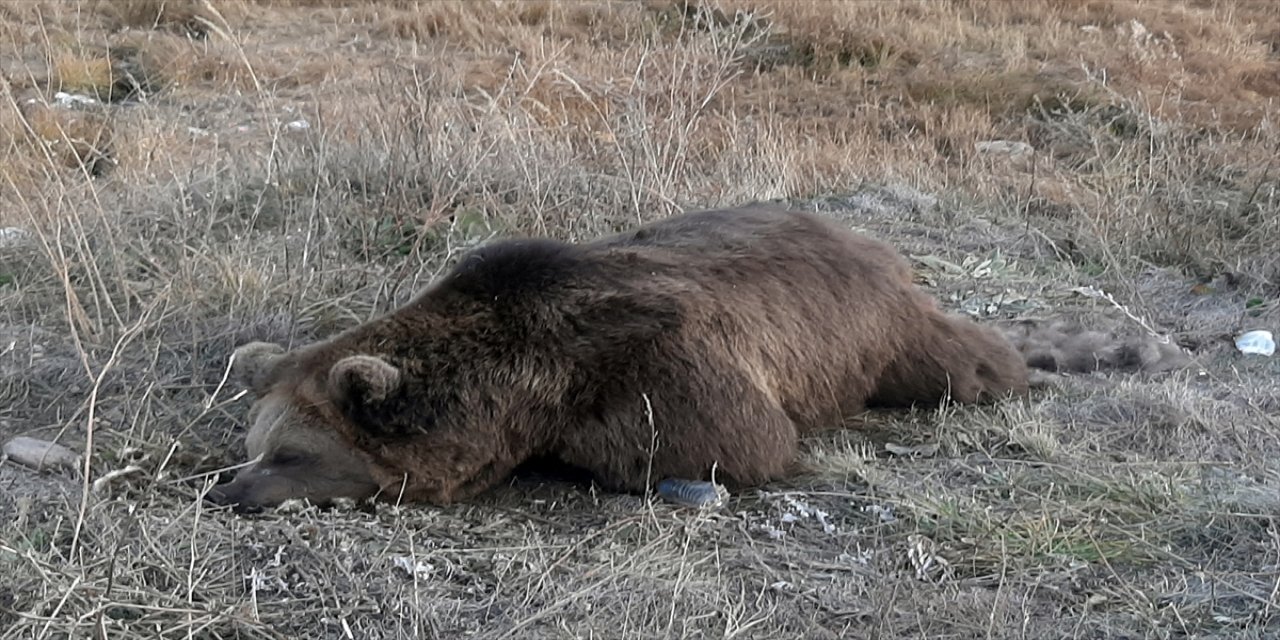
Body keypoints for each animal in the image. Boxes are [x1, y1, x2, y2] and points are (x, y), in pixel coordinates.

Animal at [204, 202, 1192, 512]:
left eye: (290, 452)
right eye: (251, 444)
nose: (228, 489)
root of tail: (874, 246)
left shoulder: (661, 374)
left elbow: (725, 444)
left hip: (888, 340)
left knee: (966, 365)